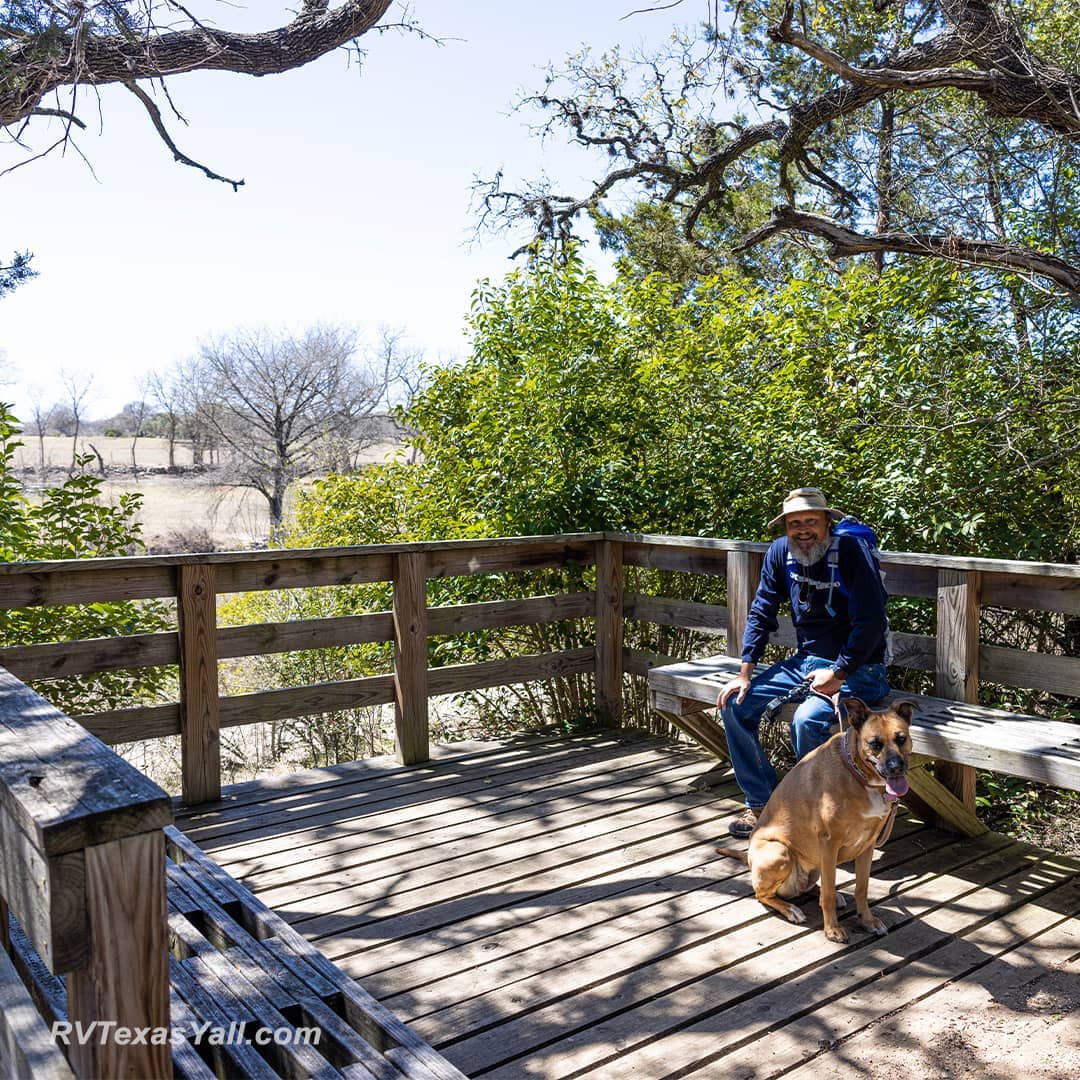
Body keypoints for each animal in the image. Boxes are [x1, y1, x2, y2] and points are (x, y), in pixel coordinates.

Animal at [721, 695, 915, 941]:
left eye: (901, 738)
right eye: (875, 744)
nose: (896, 767)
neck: (858, 774)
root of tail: (749, 859)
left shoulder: (867, 845)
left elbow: (861, 888)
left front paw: (867, 921)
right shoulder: (829, 843)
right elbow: (829, 893)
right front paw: (832, 930)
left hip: (814, 864)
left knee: (810, 886)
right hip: (780, 852)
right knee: (762, 894)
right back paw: (791, 909)